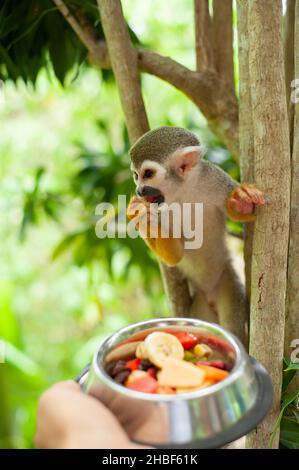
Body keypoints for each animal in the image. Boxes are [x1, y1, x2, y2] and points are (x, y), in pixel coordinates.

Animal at [127, 126, 266, 346]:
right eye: (135, 175)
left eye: (147, 174)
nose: (139, 191)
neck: (182, 190)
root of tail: (208, 294)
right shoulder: (160, 209)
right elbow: (174, 256)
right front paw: (141, 216)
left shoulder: (213, 176)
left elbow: (240, 212)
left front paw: (243, 201)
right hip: (200, 306)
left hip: (226, 282)